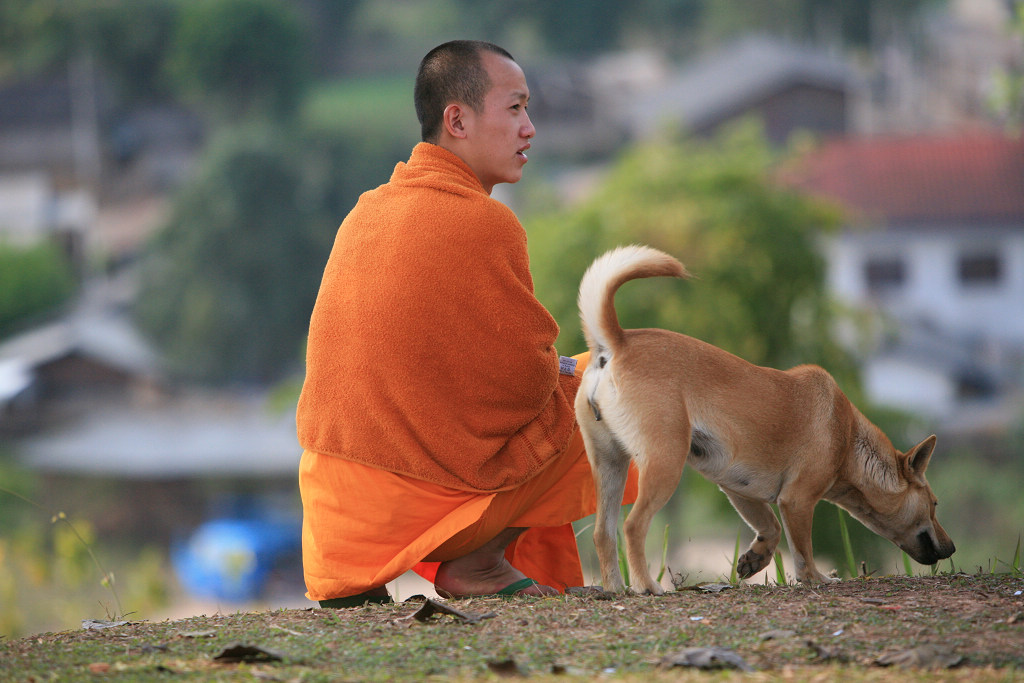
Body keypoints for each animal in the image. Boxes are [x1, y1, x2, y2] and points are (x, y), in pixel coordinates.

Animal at [581, 245, 954, 593]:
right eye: (935, 504)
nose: (951, 548)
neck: (849, 439)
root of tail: (617, 342)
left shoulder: (739, 489)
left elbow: (770, 528)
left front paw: (755, 558)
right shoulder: (797, 501)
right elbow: (803, 553)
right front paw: (818, 578)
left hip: (610, 465)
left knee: (603, 533)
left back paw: (614, 587)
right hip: (664, 465)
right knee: (633, 527)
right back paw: (646, 585)